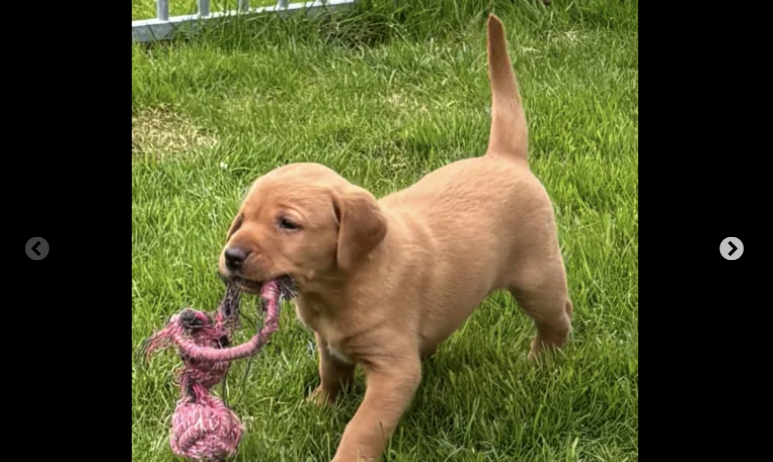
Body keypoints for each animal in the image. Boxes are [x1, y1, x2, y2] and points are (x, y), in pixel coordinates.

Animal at [220, 14, 568, 462]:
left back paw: (543, 365)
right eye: (243, 219)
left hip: (537, 275)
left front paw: (346, 453)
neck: (337, 287)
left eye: (288, 224)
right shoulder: (327, 342)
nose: (232, 256)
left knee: (556, 318)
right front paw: (318, 405)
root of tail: (504, 157)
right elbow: (331, 374)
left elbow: (364, 427)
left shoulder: (394, 369)